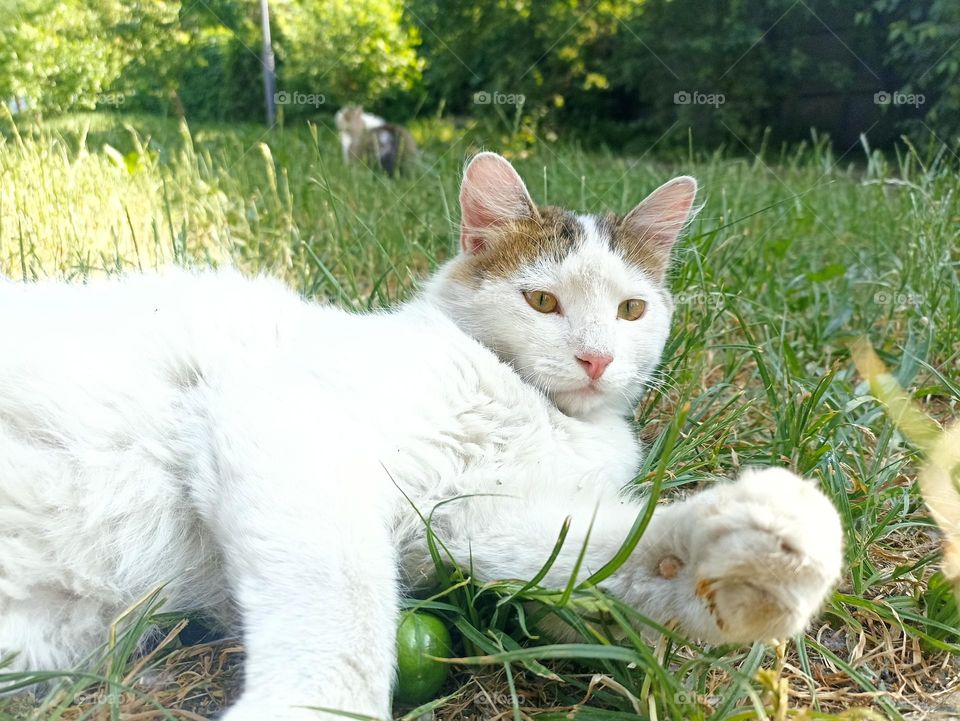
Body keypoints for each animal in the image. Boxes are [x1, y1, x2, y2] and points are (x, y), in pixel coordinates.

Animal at [0, 153, 840, 720]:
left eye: (632, 309)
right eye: (542, 301)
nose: (597, 358)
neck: (535, 409)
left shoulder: (475, 522)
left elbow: (615, 549)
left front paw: (756, 555)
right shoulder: (282, 418)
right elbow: (343, 599)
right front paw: (311, 706)